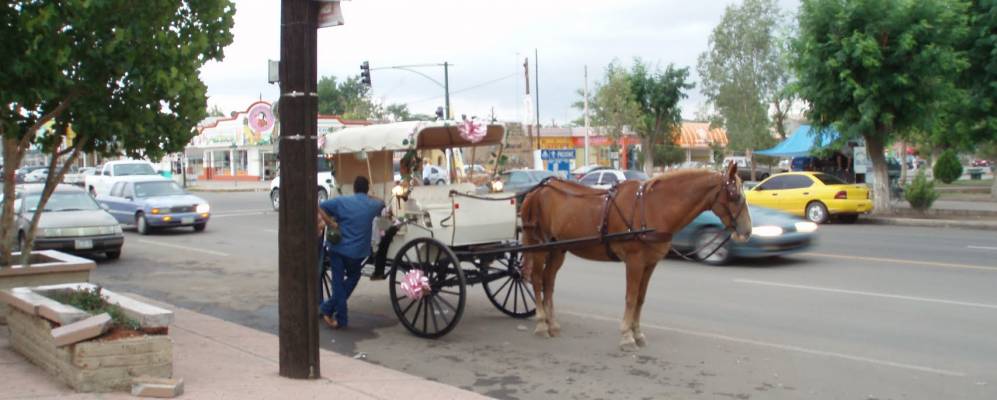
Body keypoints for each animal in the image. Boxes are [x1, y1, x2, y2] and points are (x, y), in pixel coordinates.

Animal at [520, 162, 748, 350]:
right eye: (735, 196)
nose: (746, 231)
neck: (653, 207)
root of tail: (537, 191)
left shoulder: (649, 264)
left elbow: (640, 298)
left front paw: (637, 333)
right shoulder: (635, 261)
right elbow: (630, 298)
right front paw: (626, 336)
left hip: (557, 249)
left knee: (549, 281)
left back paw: (552, 324)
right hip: (539, 246)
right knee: (537, 280)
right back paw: (541, 324)